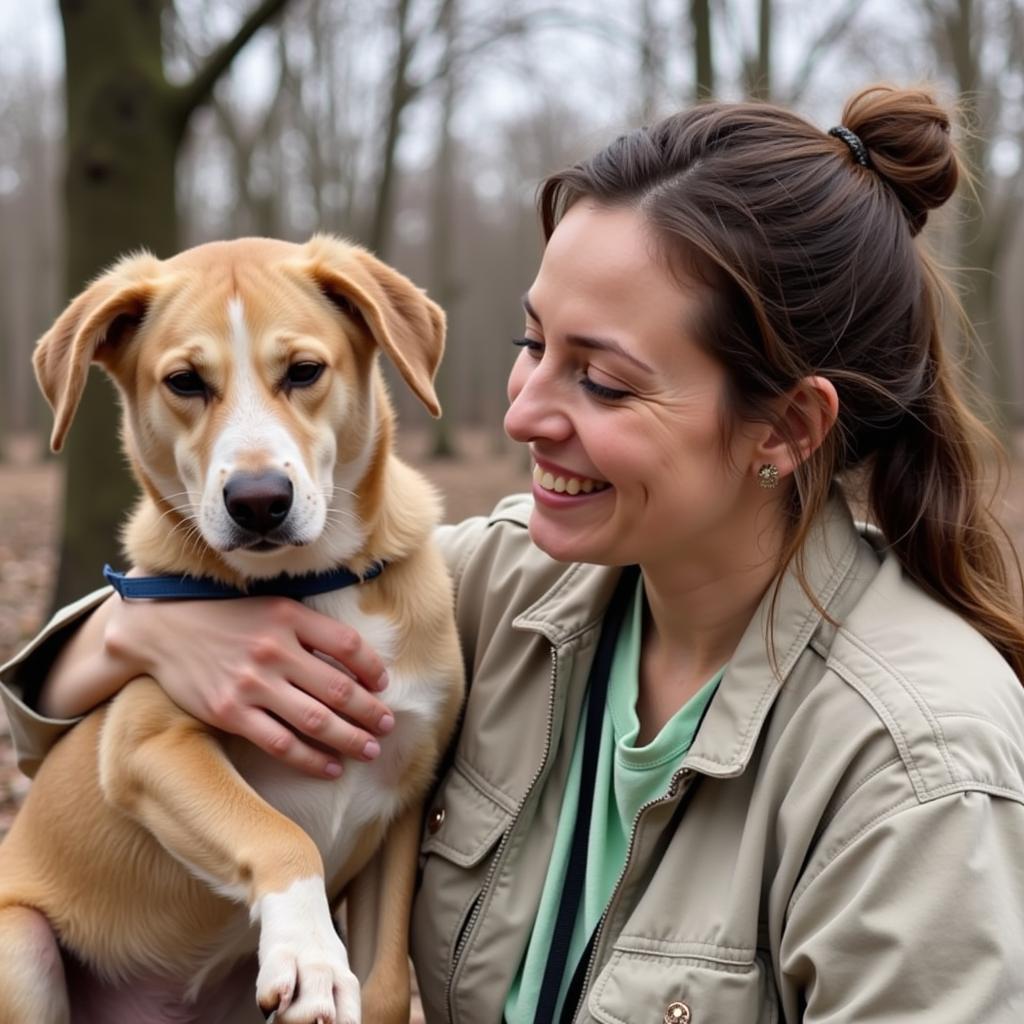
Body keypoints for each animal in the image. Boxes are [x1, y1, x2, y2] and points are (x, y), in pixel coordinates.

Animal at [0, 235, 466, 1019]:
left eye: (304, 371)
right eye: (185, 382)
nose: (258, 502)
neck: (309, 584)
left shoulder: (404, 796)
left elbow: (384, 982)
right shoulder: (149, 746)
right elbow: (279, 833)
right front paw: (310, 956)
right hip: (20, 947)